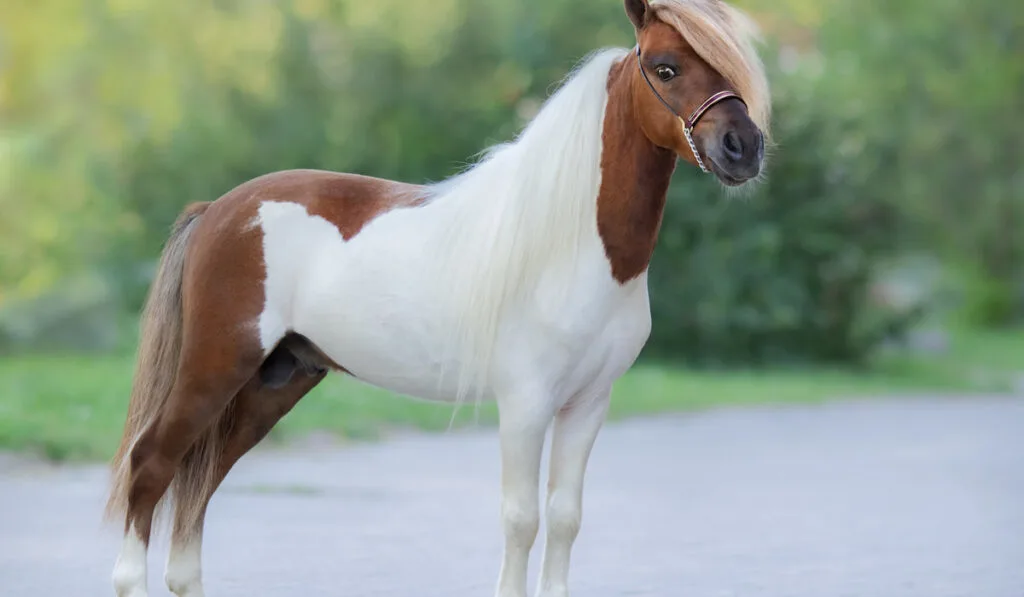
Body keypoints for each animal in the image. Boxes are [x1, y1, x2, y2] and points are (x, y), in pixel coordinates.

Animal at [105, 1, 770, 597]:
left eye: (730, 66)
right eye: (665, 67)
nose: (744, 148)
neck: (572, 246)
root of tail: (217, 210)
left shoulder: (588, 404)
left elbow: (564, 517)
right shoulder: (525, 403)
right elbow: (521, 519)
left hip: (277, 379)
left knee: (203, 477)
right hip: (214, 367)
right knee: (152, 465)